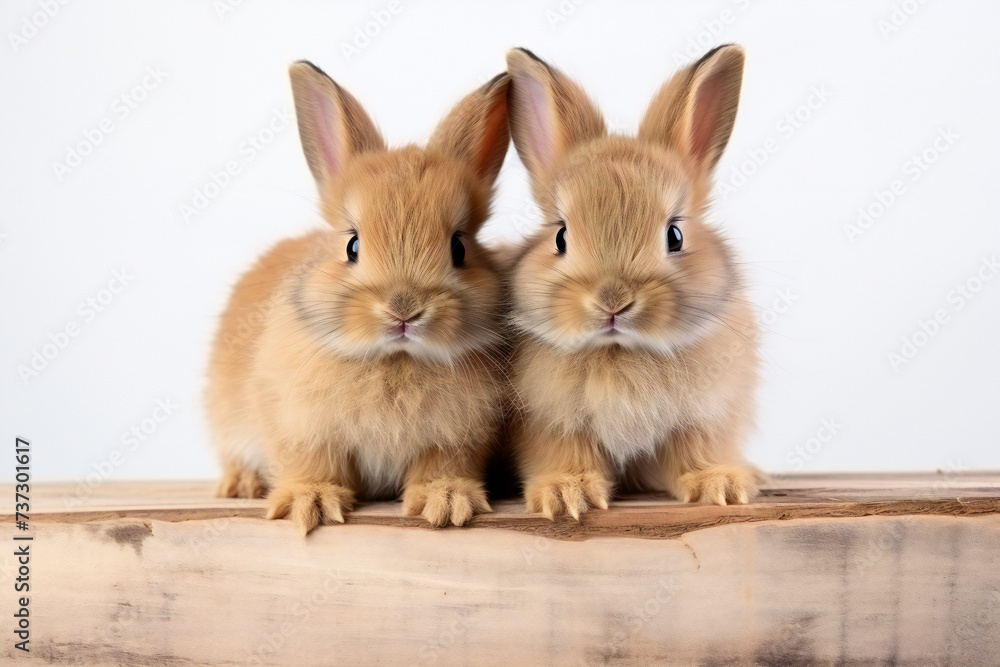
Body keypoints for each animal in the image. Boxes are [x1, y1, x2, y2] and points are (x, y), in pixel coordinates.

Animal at [205, 61, 512, 534]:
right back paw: (241, 485)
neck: (395, 359)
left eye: (459, 247)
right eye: (352, 245)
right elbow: (311, 464)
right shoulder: (299, 424)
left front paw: (446, 502)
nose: (404, 311)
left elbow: (441, 467)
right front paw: (310, 503)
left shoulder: (458, 439)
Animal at [503, 45, 762, 520]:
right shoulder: (550, 421)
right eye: (560, 236)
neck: (621, 350)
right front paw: (566, 496)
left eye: (675, 235)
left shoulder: (705, 416)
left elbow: (696, 452)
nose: (613, 301)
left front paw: (719, 486)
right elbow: (565, 455)